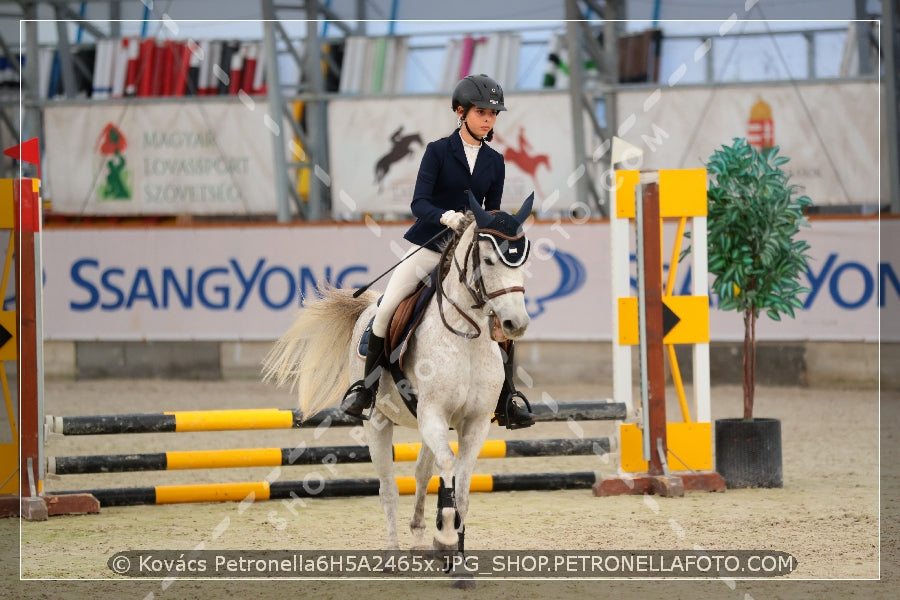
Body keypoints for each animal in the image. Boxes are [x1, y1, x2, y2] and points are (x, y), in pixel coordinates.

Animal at [266, 192, 536, 580]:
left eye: (522, 261)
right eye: (487, 259)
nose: (515, 323)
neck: (466, 335)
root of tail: (368, 305)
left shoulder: (474, 423)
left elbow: (461, 484)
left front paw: (456, 557)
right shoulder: (433, 414)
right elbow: (448, 467)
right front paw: (447, 539)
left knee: (422, 475)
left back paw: (421, 539)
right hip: (378, 421)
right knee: (389, 487)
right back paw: (393, 553)